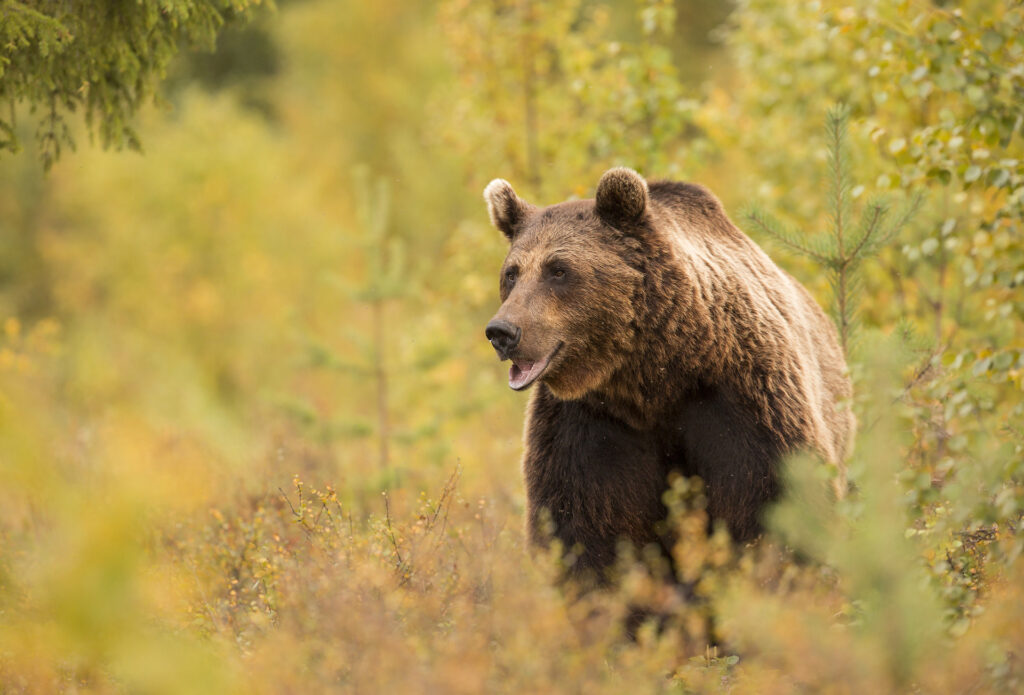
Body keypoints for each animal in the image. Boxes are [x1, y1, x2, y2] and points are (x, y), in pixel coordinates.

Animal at [483, 167, 854, 584]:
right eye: (511, 274)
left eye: (558, 270)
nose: (502, 332)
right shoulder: (592, 424)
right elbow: (589, 527)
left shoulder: (745, 397)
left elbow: (775, 503)